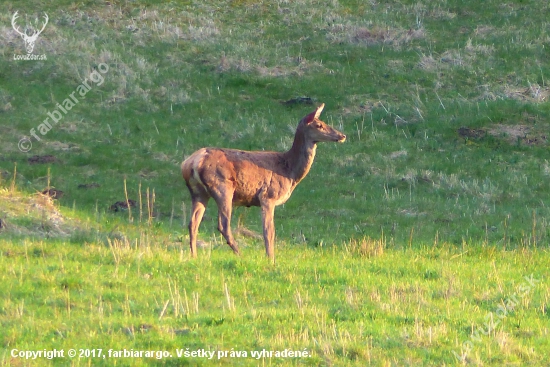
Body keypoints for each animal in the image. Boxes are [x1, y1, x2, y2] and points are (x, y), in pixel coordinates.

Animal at [182, 103, 344, 264]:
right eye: (319, 125)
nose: (342, 136)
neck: (289, 170)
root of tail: (192, 162)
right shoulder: (268, 196)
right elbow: (269, 231)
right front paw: (271, 259)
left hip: (198, 192)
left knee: (193, 223)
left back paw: (194, 255)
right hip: (222, 187)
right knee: (223, 224)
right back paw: (240, 254)